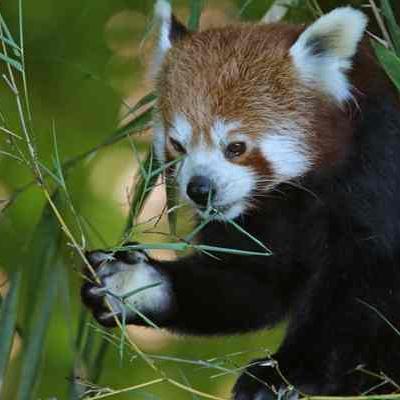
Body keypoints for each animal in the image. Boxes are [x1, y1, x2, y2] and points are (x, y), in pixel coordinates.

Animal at [80, 1, 400, 398]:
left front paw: (287, 372)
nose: (199, 189)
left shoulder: (377, 171)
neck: (294, 195)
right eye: (178, 145)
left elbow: (359, 289)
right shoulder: (256, 220)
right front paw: (134, 283)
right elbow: (254, 281)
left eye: (235, 147)